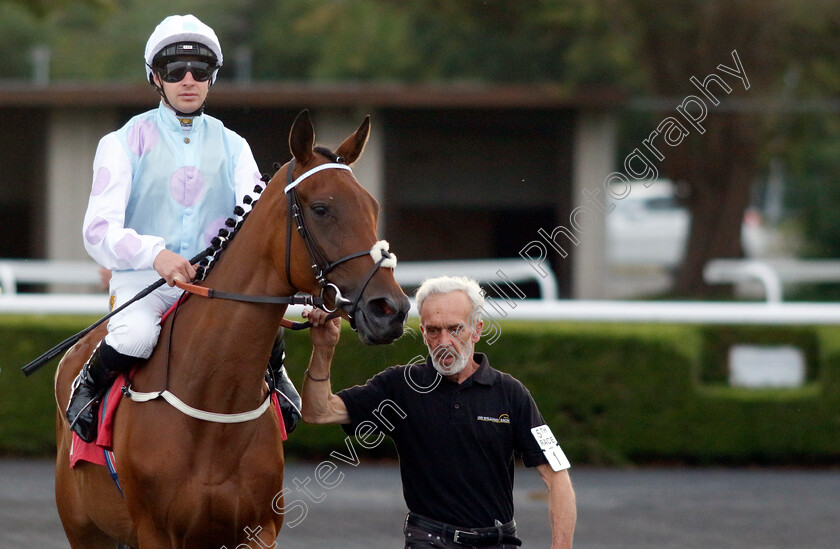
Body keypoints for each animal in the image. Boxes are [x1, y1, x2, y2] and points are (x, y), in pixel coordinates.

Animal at [53, 109, 410, 544]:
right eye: (322, 209)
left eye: (372, 206)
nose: (390, 309)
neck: (213, 400)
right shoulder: (155, 532)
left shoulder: (258, 530)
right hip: (84, 529)